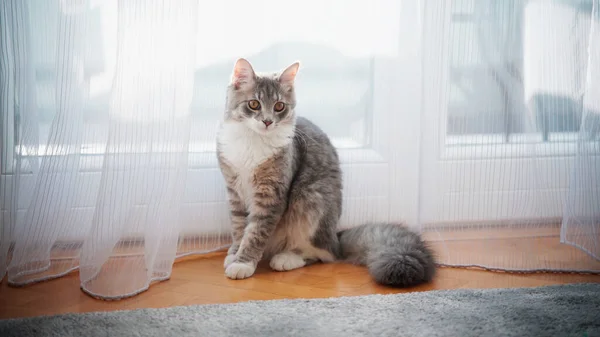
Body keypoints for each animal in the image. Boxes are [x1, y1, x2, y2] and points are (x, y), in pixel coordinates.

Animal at [216, 58, 436, 286]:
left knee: (324, 254)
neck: (252, 141)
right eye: (254, 104)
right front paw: (235, 253)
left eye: (279, 107)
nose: (267, 121)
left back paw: (287, 258)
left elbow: (255, 233)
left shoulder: (270, 196)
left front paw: (243, 263)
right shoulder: (235, 191)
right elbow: (239, 228)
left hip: (310, 200)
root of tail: (336, 237)